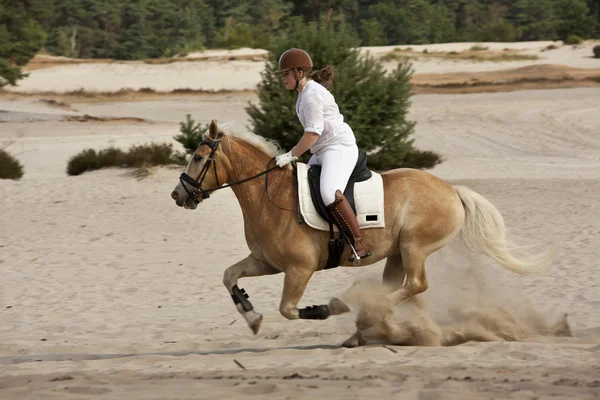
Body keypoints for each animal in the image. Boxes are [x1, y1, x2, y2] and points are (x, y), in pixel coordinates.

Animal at [170, 119, 552, 346]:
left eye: (199, 157)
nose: (178, 195)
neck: (268, 194)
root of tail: (451, 190)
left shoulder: (299, 269)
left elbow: (289, 309)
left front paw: (330, 308)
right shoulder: (265, 262)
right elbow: (229, 276)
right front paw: (251, 317)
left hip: (414, 247)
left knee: (415, 285)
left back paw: (363, 314)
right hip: (398, 253)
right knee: (402, 288)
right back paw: (377, 329)